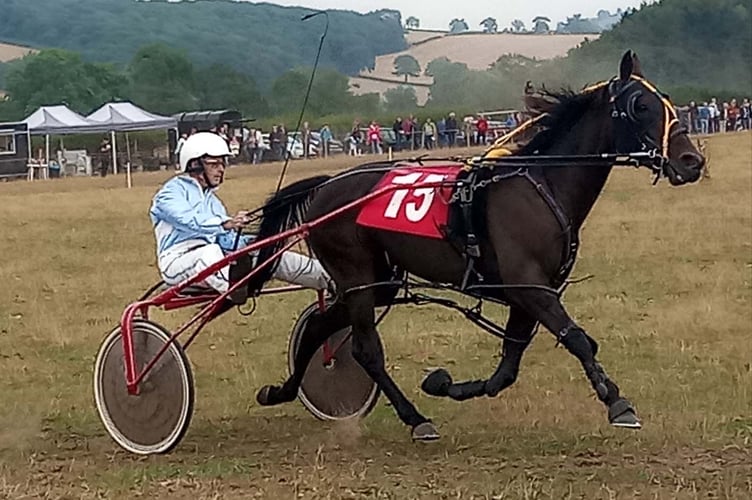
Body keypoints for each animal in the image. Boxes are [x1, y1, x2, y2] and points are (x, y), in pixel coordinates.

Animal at [247, 51, 704, 442]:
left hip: (378, 281)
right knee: (364, 350)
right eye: (640, 106)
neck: (541, 186)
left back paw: (283, 390)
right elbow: (576, 338)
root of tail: (326, 184)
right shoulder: (529, 286)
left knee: (321, 328)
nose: (691, 161)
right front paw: (617, 402)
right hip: (357, 275)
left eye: (666, 101)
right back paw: (414, 418)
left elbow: (507, 369)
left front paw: (445, 384)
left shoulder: (529, 294)